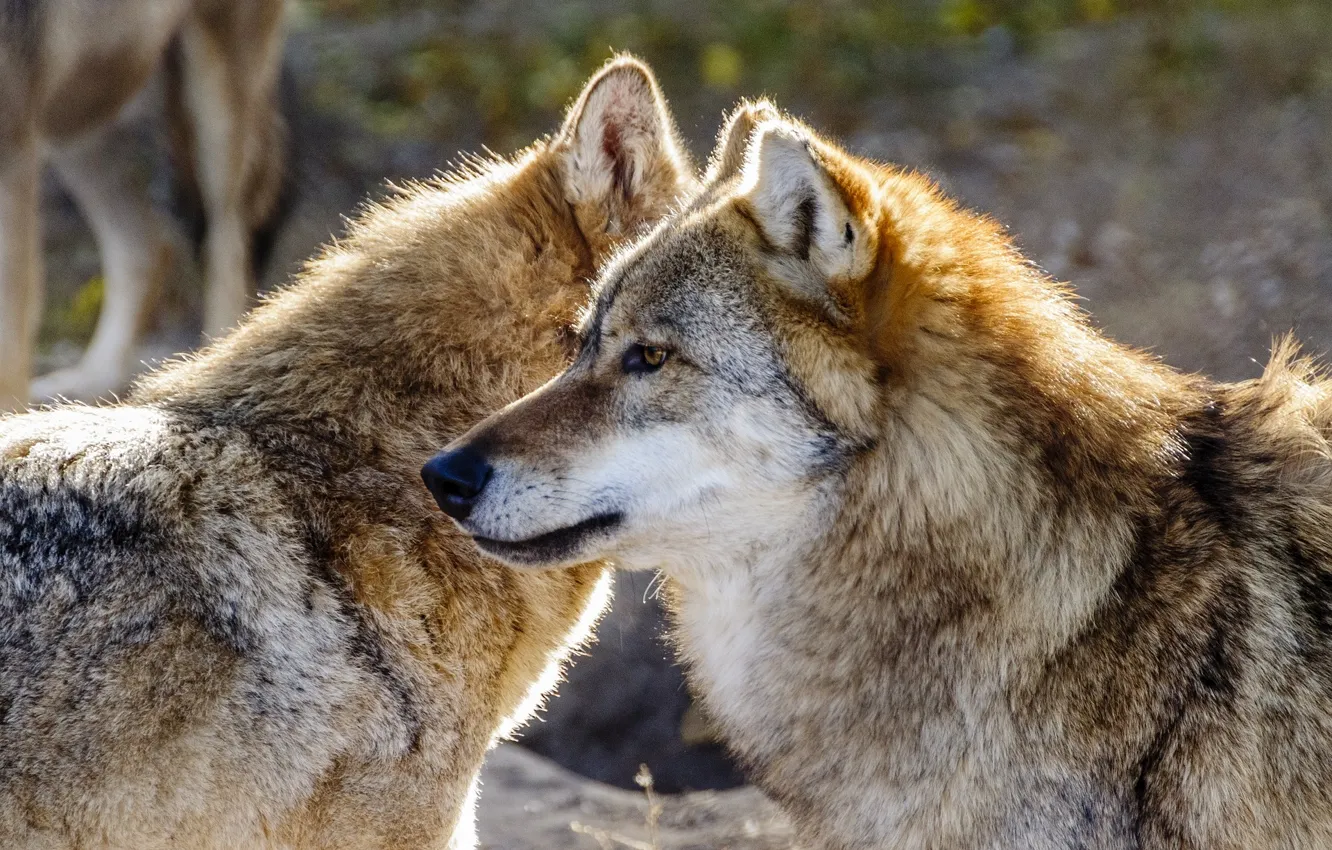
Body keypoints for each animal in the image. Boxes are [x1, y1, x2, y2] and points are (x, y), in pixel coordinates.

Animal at [0, 0, 288, 412]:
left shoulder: (12, 145)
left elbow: (9, 344)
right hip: (78, 119)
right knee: (150, 244)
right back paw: (90, 387)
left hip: (215, 103)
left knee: (229, 248)